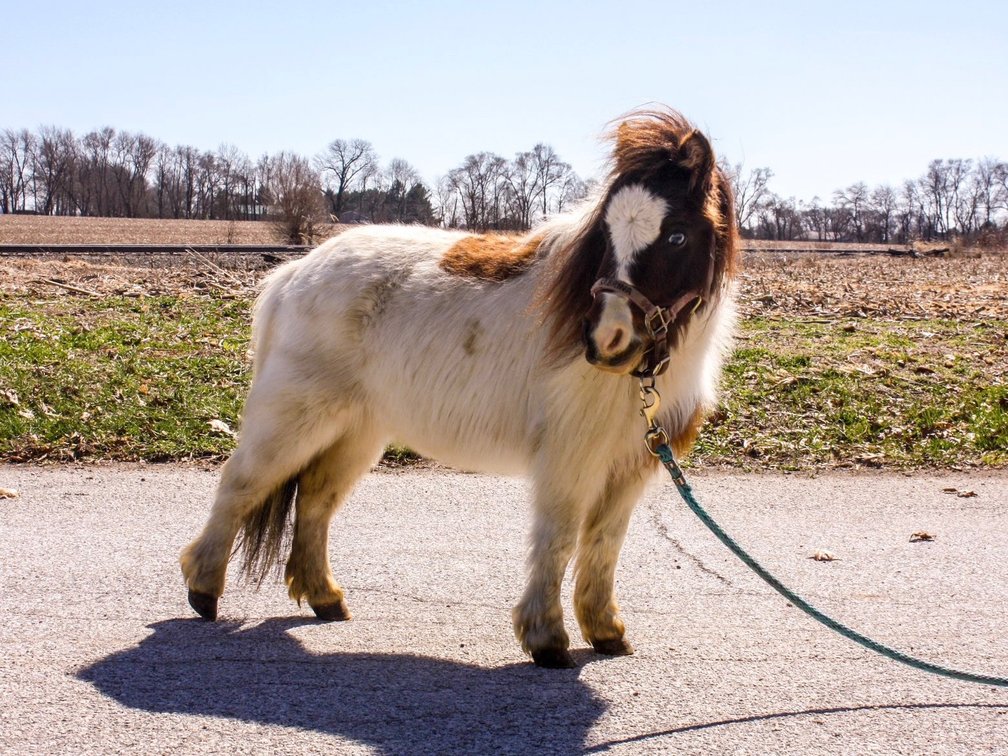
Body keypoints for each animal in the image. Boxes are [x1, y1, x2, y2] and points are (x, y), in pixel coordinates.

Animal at [180, 108, 741, 668]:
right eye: (605, 233)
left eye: (677, 236)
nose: (607, 340)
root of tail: (296, 272)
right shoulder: (570, 458)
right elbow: (558, 537)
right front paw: (547, 639)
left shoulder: (629, 464)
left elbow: (604, 543)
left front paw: (605, 631)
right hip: (293, 419)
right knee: (241, 484)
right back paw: (204, 590)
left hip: (357, 432)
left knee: (316, 499)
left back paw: (326, 599)